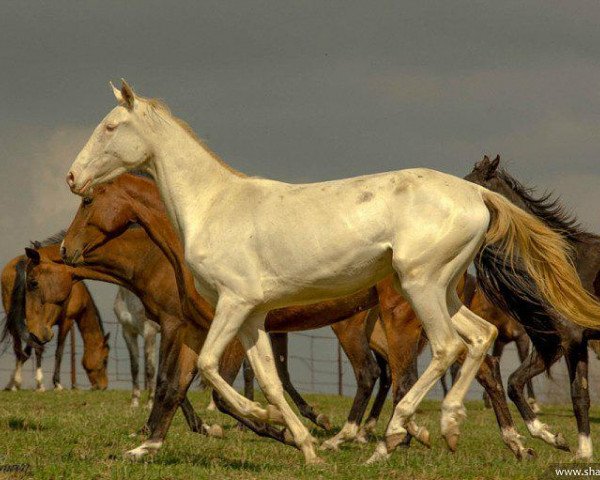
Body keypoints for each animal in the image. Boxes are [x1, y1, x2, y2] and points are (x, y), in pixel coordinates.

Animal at [2, 248, 109, 390]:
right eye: (105, 359)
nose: (103, 386)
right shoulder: (66, 320)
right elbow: (59, 351)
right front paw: (56, 383)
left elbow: (28, 350)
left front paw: (13, 382)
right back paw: (40, 384)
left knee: (18, 348)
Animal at [58, 174, 532, 460]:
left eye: (87, 200)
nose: (66, 249)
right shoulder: (195, 330)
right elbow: (174, 387)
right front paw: (149, 444)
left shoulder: (221, 328)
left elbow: (219, 392)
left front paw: (281, 430)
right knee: (473, 361)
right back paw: (511, 440)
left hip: (397, 322)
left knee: (407, 374)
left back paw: (395, 437)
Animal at [466, 156, 600, 460]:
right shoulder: (556, 344)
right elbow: (516, 384)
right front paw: (557, 440)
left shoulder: (571, 340)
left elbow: (577, 394)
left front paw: (579, 451)